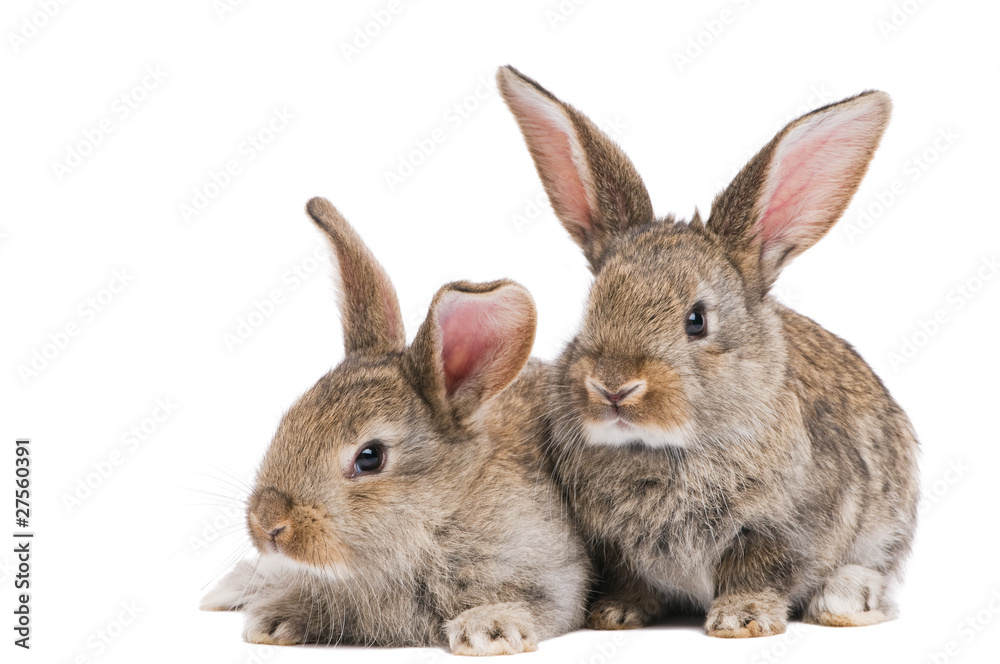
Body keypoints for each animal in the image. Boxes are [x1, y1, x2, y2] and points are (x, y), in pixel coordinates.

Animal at [200, 197, 590, 655]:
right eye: (288, 421)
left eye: (370, 457)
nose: (269, 523)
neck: (438, 516)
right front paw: (274, 621)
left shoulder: (552, 578)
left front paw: (489, 630)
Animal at [496, 65, 920, 638]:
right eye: (591, 308)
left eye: (696, 320)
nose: (613, 387)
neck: (661, 450)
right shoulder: (616, 547)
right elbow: (633, 578)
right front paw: (616, 615)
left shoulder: (781, 529)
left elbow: (758, 571)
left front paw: (742, 620)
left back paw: (844, 601)